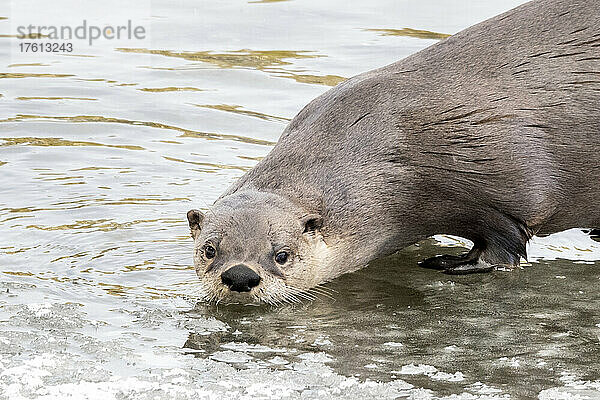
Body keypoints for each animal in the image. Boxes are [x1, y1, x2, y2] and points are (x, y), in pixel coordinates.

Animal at [188, 0, 600, 304]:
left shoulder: (498, 189)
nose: (240, 276)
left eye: (282, 255)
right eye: (209, 250)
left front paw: (450, 262)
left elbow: (503, 248)